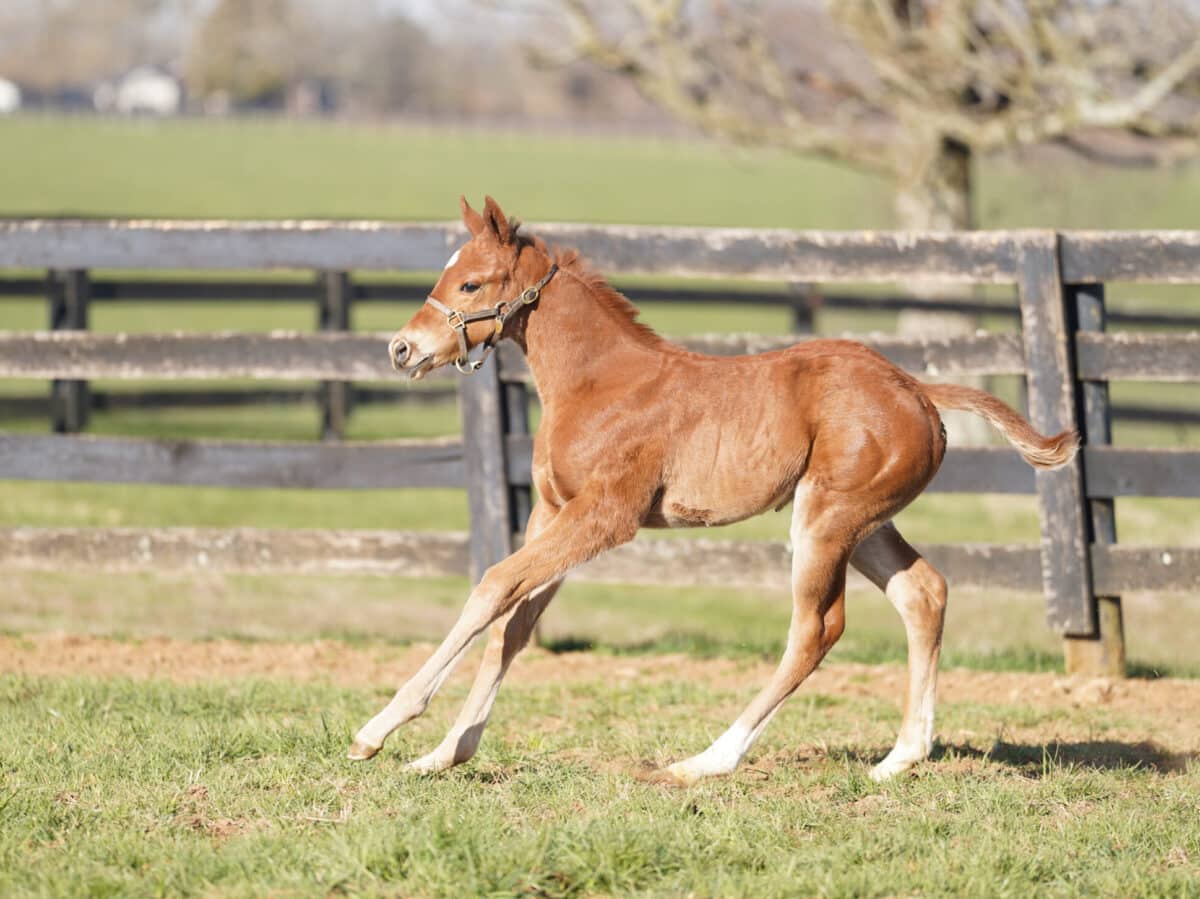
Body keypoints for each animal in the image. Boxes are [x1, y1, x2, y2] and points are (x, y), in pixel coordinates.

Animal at [350, 194, 1080, 777]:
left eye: (471, 284)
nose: (401, 349)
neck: (598, 383)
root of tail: (917, 389)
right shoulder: (553, 514)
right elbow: (515, 624)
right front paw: (442, 753)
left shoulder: (604, 516)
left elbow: (493, 586)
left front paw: (379, 729)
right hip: (865, 521)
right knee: (923, 593)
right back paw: (900, 758)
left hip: (826, 520)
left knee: (817, 628)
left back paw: (709, 759)